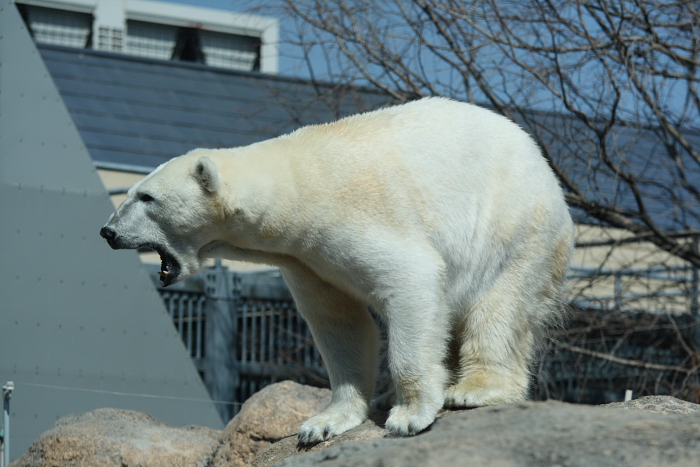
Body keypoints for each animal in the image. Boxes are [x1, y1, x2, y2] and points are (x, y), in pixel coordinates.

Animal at [102, 98, 576, 442]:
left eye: (146, 197)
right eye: (135, 192)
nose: (108, 231)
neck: (293, 187)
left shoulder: (351, 219)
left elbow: (412, 282)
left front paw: (409, 415)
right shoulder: (306, 258)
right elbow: (339, 321)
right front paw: (323, 423)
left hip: (516, 226)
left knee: (497, 306)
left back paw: (474, 389)